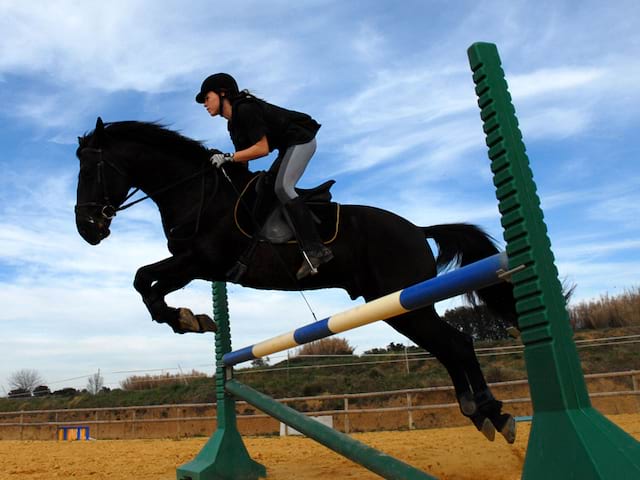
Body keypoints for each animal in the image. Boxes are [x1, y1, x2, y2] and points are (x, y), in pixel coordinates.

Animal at [72, 116, 516, 442]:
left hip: (403, 302)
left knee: (457, 344)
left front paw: (186, 319)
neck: (197, 193)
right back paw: (479, 412)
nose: (87, 229)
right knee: (448, 347)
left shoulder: (200, 261)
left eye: (91, 169)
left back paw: (493, 413)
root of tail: (417, 229)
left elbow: (146, 282)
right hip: (399, 307)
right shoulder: (195, 264)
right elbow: (144, 281)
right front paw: (190, 319)